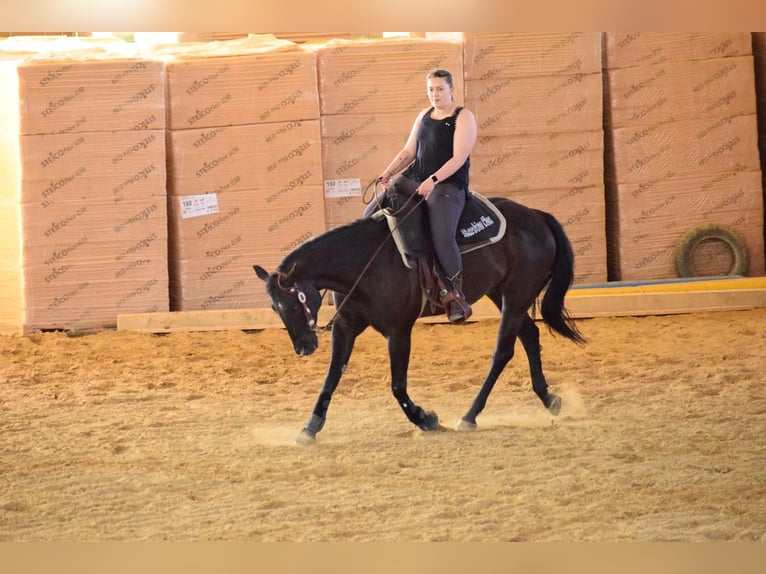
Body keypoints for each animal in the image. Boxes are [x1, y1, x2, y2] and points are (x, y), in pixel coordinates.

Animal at [255, 198, 584, 446]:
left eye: (292, 304)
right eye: (274, 308)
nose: (303, 347)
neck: (363, 264)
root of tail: (537, 216)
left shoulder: (399, 330)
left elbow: (397, 386)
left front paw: (426, 420)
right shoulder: (345, 327)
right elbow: (332, 377)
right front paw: (309, 428)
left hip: (515, 297)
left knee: (503, 352)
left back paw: (469, 416)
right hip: (501, 294)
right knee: (530, 335)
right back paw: (549, 399)